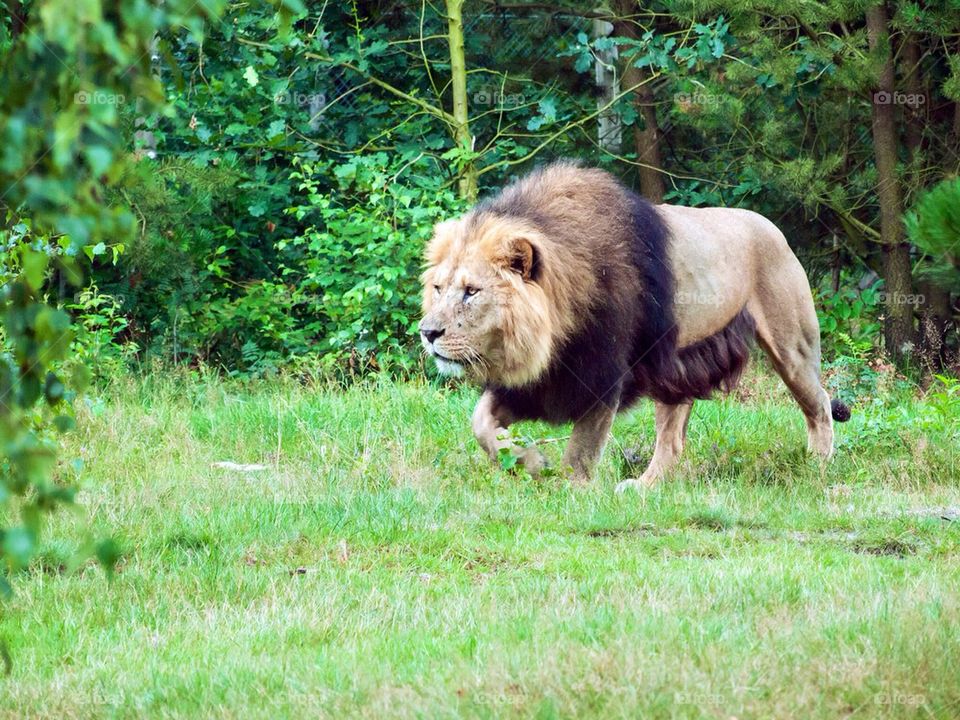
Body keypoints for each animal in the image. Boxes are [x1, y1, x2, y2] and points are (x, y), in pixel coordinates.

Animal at [419, 161, 850, 491]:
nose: (427, 332)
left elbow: (582, 451)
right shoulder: (538, 381)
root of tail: (775, 229)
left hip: (791, 345)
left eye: (471, 291)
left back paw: (817, 467)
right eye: (438, 288)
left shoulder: (601, 374)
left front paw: (568, 492)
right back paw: (644, 487)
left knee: (820, 405)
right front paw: (532, 463)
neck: (554, 332)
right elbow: (480, 425)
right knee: (672, 441)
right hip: (676, 366)